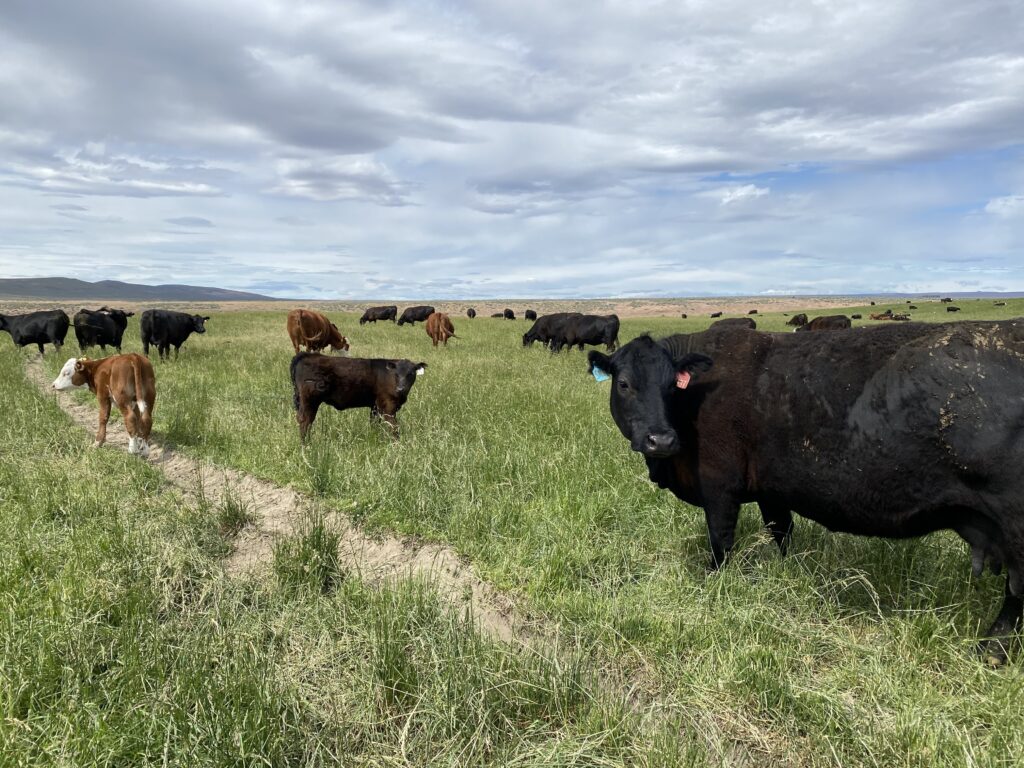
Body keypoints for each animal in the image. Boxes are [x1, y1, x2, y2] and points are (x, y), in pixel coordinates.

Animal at [290, 354, 425, 442]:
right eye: (396, 374)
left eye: (411, 373)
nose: (401, 389)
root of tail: (306, 355)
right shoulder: (388, 404)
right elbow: (394, 426)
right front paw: (397, 444)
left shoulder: (375, 406)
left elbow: (374, 423)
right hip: (309, 399)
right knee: (305, 421)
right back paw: (306, 445)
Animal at [585, 321, 1024, 663]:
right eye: (624, 384)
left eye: (671, 388)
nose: (661, 439)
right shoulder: (771, 491)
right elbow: (781, 534)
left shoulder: (719, 487)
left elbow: (721, 544)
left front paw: (713, 588)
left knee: (1017, 592)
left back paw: (990, 652)